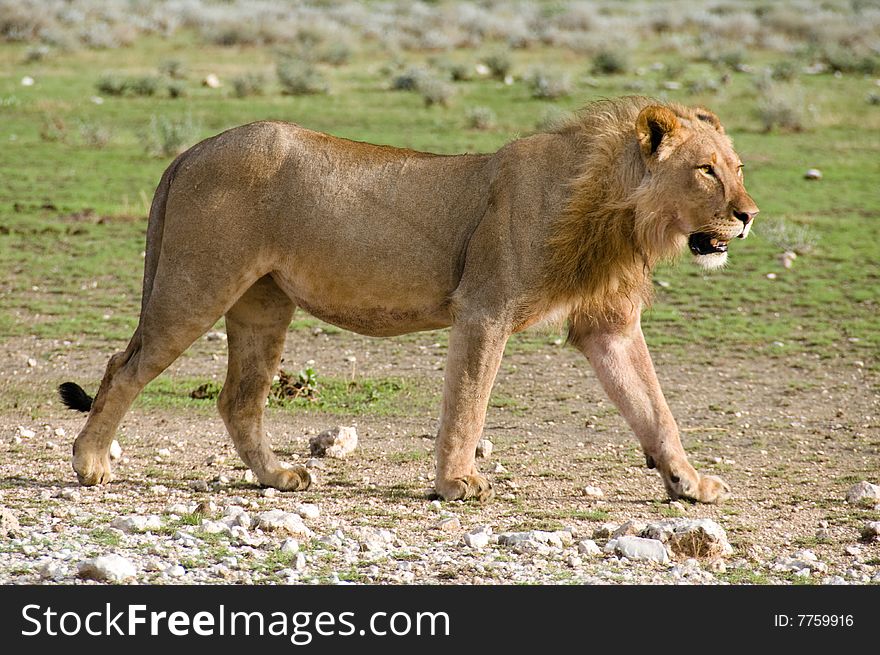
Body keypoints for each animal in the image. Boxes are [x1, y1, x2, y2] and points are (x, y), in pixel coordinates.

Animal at [58, 97, 756, 504]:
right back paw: (90, 464)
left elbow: (654, 409)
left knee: (237, 399)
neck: (617, 211)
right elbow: (467, 404)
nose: (748, 215)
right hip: (195, 286)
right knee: (124, 368)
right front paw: (457, 483)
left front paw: (688, 482)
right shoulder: (483, 309)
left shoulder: (607, 325)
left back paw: (279, 476)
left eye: (737, 168)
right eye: (706, 170)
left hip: (263, 303)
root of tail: (190, 150)